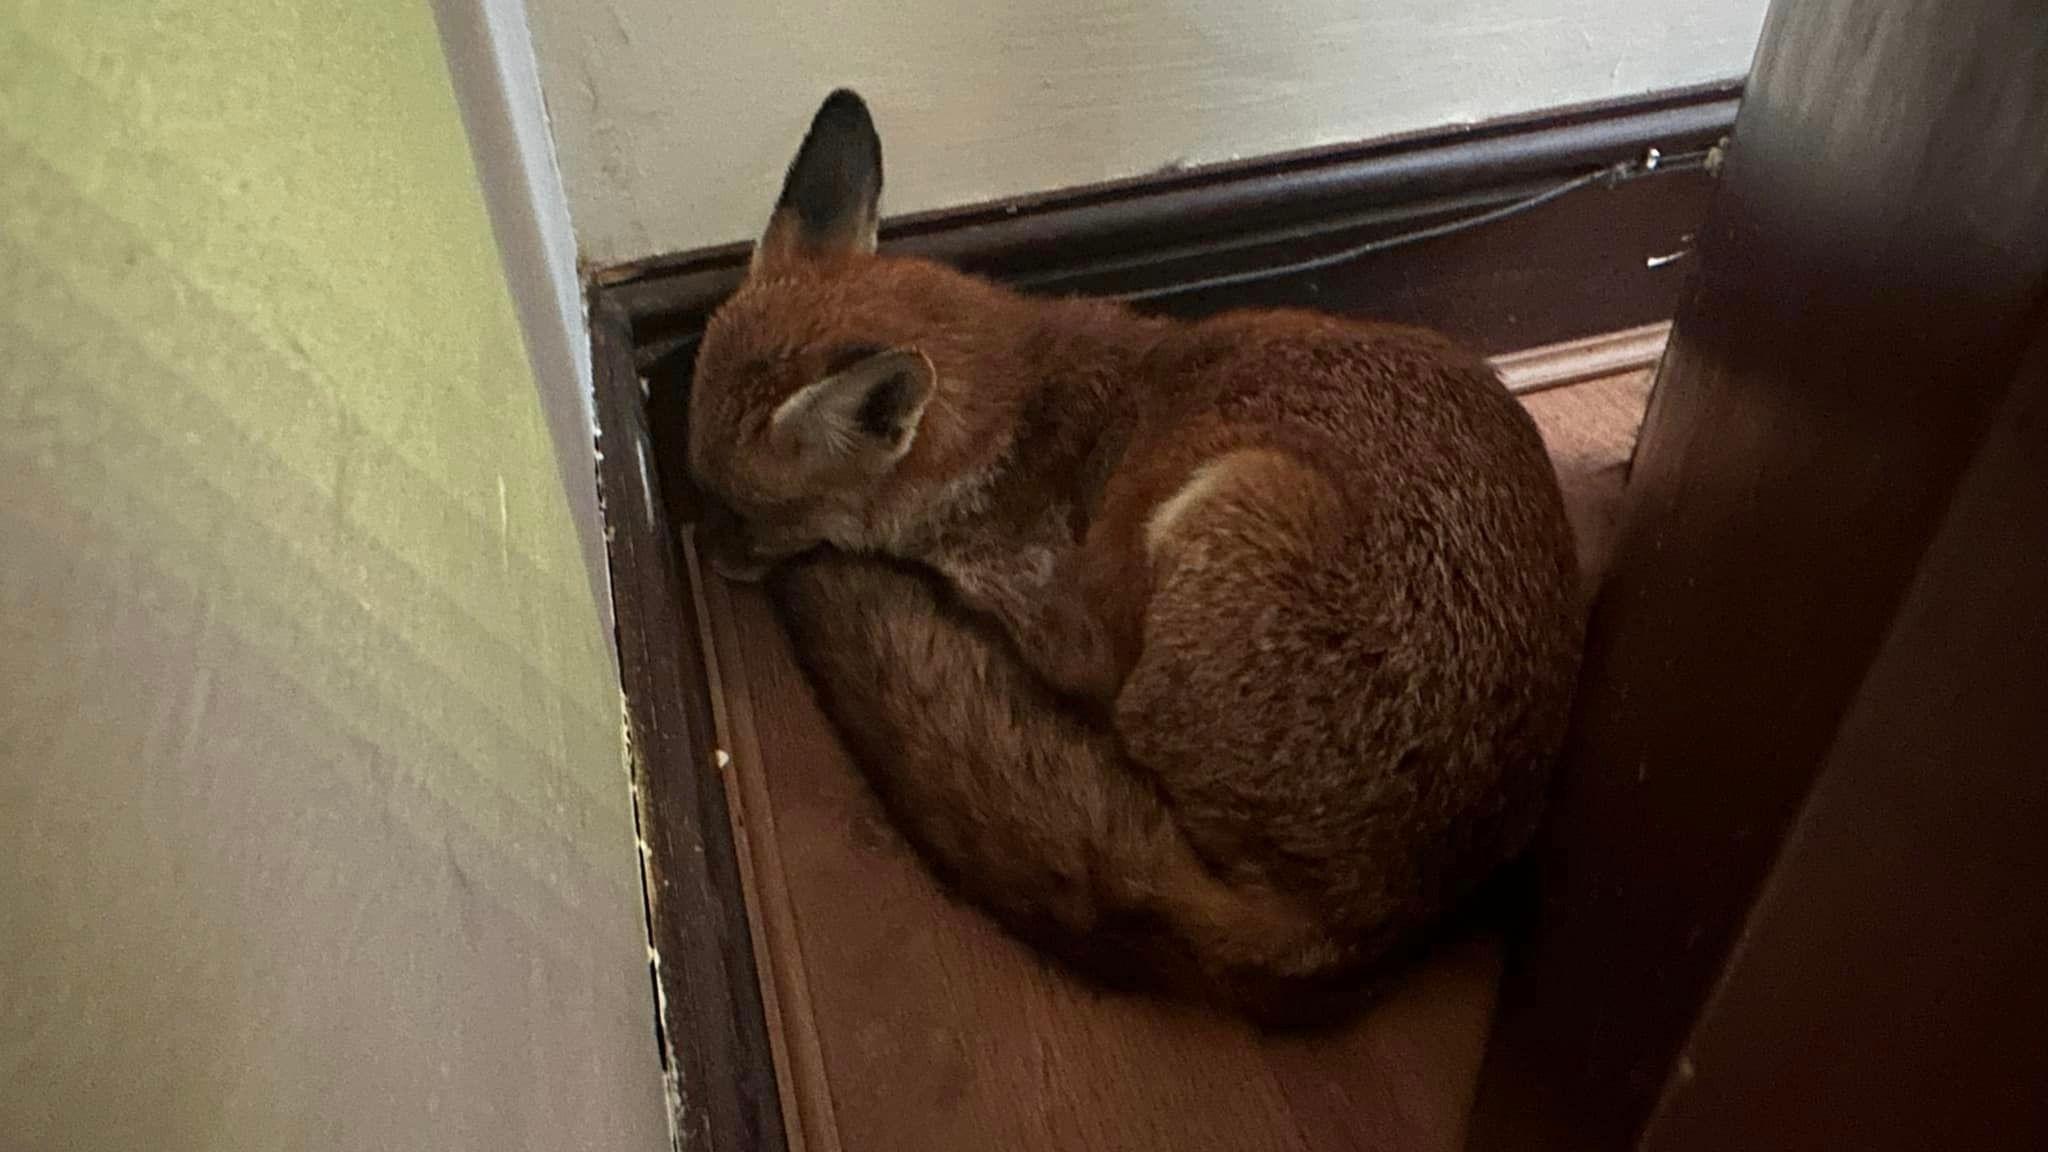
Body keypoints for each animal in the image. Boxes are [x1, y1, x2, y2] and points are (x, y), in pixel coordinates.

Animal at [688, 91, 1581, 1012]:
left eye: (742, 508)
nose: (700, 547)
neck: (1010, 433)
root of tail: (1370, 924)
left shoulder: (1074, 623)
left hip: (1233, 502)